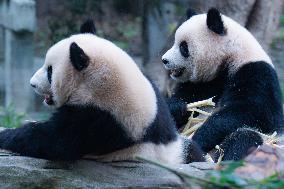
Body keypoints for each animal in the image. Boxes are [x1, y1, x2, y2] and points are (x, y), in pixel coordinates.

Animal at [0, 19, 203, 163]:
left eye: (50, 71)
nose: (32, 84)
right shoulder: (157, 104)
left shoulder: (99, 118)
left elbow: (53, 141)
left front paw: (7, 135)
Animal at [162, 7, 284, 161]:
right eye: (175, 42)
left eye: (183, 47)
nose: (164, 60)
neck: (231, 56)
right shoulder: (206, 82)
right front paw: (177, 106)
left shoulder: (257, 74)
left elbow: (253, 111)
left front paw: (202, 136)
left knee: (245, 137)